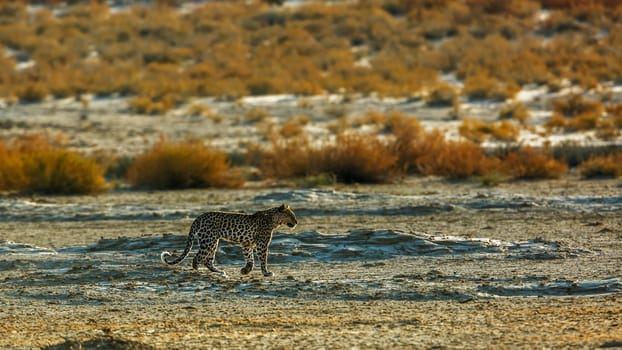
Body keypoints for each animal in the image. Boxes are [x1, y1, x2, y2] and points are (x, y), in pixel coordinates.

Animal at [160, 205, 298, 276]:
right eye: (291, 215)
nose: (296, 222)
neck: (274, 219)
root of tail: (198, 217)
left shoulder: (247, 244)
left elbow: (250, 258)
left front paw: (245, 270)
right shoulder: (262, 244)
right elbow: (263, 259)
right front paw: (266, 273)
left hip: (213, 241)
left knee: (207, 260)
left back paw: (218, 271)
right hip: (208, 241)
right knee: (197, 257)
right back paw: (198, 271)